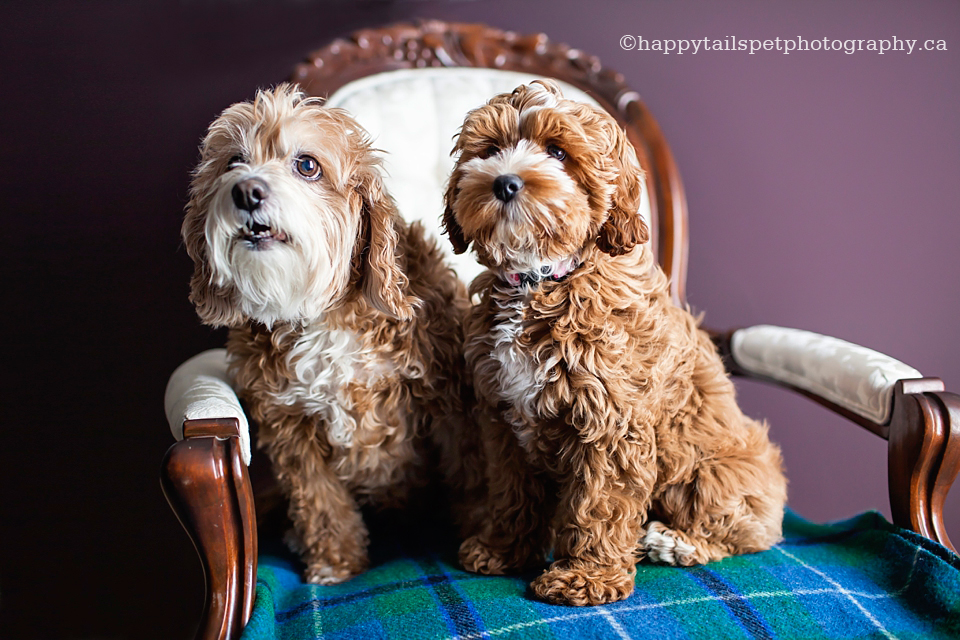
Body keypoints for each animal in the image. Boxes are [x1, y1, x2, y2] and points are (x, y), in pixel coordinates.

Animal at [182, 85, 480, 584]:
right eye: (233, 162)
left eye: (307, 165)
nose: (246, 190)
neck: (319, 313)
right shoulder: (290, 427)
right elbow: (320, 500)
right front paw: (336, 561)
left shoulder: (447, 406)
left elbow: (470, 475)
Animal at [444, 82, 788, 608]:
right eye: (490, 149)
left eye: (558, 152)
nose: (503, 183)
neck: (543, 279)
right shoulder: (502, 419)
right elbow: (512, 490)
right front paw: (503, 549)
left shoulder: (610, 421)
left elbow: (600, 503)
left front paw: (585, 577)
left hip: (714, 474)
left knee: (738, 533)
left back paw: (674, 542)